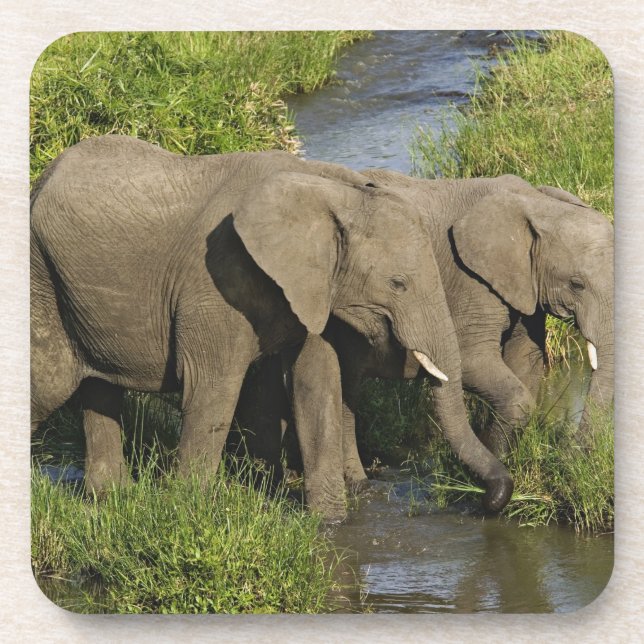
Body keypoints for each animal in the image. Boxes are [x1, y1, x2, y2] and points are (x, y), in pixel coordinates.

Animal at [30, 135, 513, 521]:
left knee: (99, 387)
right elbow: (212, 388)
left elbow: (316, 381)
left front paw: (331, 524)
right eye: (398, 284)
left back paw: (111, 499)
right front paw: (187, 511)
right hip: (41, 277)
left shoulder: (311, 287)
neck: (332, 191)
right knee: (49, 382)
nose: (487, 500)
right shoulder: (216, 279)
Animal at [237, 171, 613, 493]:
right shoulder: (471, 280)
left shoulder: (522, 287)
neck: (534, 202)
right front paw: (486, 469)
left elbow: (527, 361)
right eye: (576, 284)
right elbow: (473, 362)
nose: (569, 459)